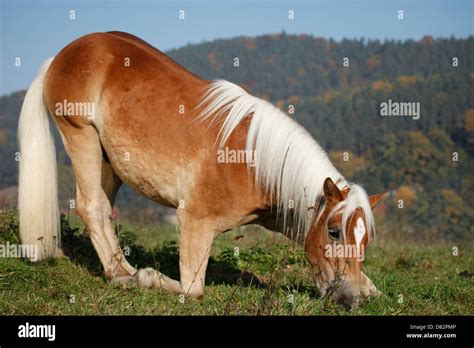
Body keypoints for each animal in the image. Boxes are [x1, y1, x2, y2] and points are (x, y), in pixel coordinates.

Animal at [18, 32, 388, 308]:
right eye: (334, 232)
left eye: (366, 239)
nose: (348, 300)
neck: (253, 163)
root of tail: (61, 55)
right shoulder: (193, 223)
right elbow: (192, 290)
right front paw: (147, 278)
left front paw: (369, 288)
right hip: (82, 138)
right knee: (91, 207)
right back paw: (123, 275)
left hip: (110, 162)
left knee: (104, 209)